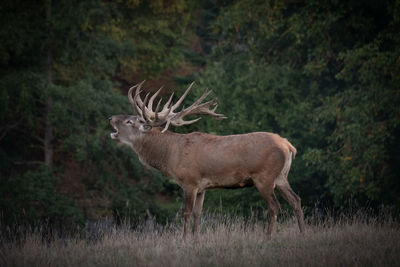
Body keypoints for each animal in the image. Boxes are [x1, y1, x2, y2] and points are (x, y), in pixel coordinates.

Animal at [108, 81, 304, 241]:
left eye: (129, 121)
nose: (110, 118)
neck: (171, 155)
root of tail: (288, 145)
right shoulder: (202, 187)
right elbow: (197, 213)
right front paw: (196, 240)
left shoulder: (189, 181)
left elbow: (186, 212)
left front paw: (184, 241)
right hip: (281, 177)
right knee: (296, 200)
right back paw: (302, 234)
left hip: (265, 177)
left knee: (274, 206)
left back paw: (268, 238)